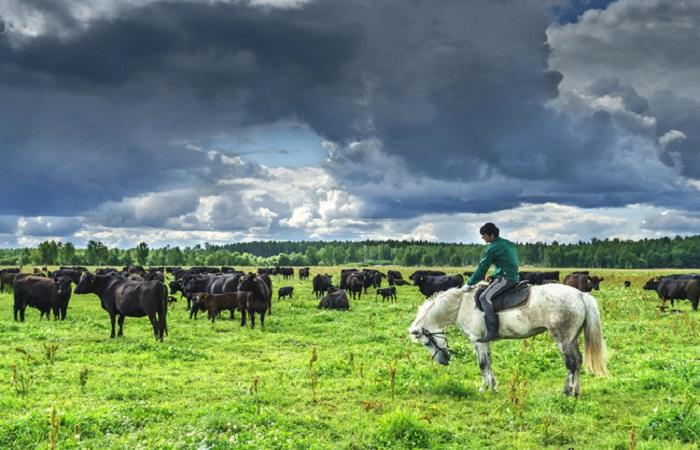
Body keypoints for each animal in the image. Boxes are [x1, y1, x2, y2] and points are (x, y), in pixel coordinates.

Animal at [410, 284, 608, 396]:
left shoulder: (478, 341)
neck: (461, 305)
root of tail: (581, 295)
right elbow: (489, 363)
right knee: (577, 362)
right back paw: (574, 390)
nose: (444, 361)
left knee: (571, 363)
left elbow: (482, 364)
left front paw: (484, 388)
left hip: (563, 339)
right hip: (572, 338)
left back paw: (570, 392)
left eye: (426, 342)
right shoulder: (485, 342)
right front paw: (493, 387)